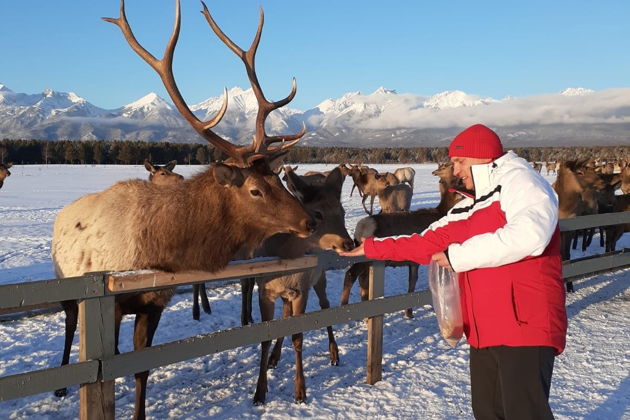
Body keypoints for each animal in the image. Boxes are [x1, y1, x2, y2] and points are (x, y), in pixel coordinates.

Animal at [53, 1, 314, 418]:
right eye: (256, 190)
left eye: (279, 179)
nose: (309, 220)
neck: (157, 248)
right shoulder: (109, 304)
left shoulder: (154, 303)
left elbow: (141, 370)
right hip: (66, 284)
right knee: (68, 325)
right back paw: (62, 384)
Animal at [344, 162, 466, 316]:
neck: (441, 212)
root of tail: (360, 229)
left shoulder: (413, 262)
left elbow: (412, 283)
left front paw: (408, 312)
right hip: (367, 259)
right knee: (352, 275)